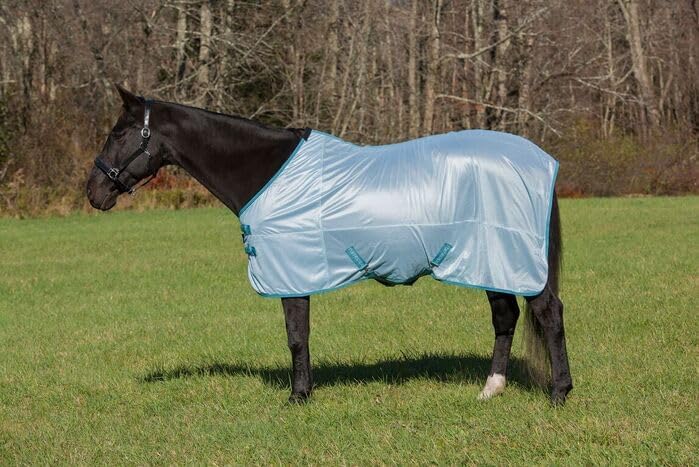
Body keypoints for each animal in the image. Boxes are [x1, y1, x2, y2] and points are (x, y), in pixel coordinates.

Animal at [86, 85, 572, 405]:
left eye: (118, 133)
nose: (93, 192)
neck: (267, 172)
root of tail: (541, 161)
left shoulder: (292, 272)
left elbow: (296, 337)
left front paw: (299, 396)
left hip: (511, 259)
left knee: (548, 314)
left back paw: (559, 393)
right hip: (490, 259)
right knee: (506, 317)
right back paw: (491, 389)